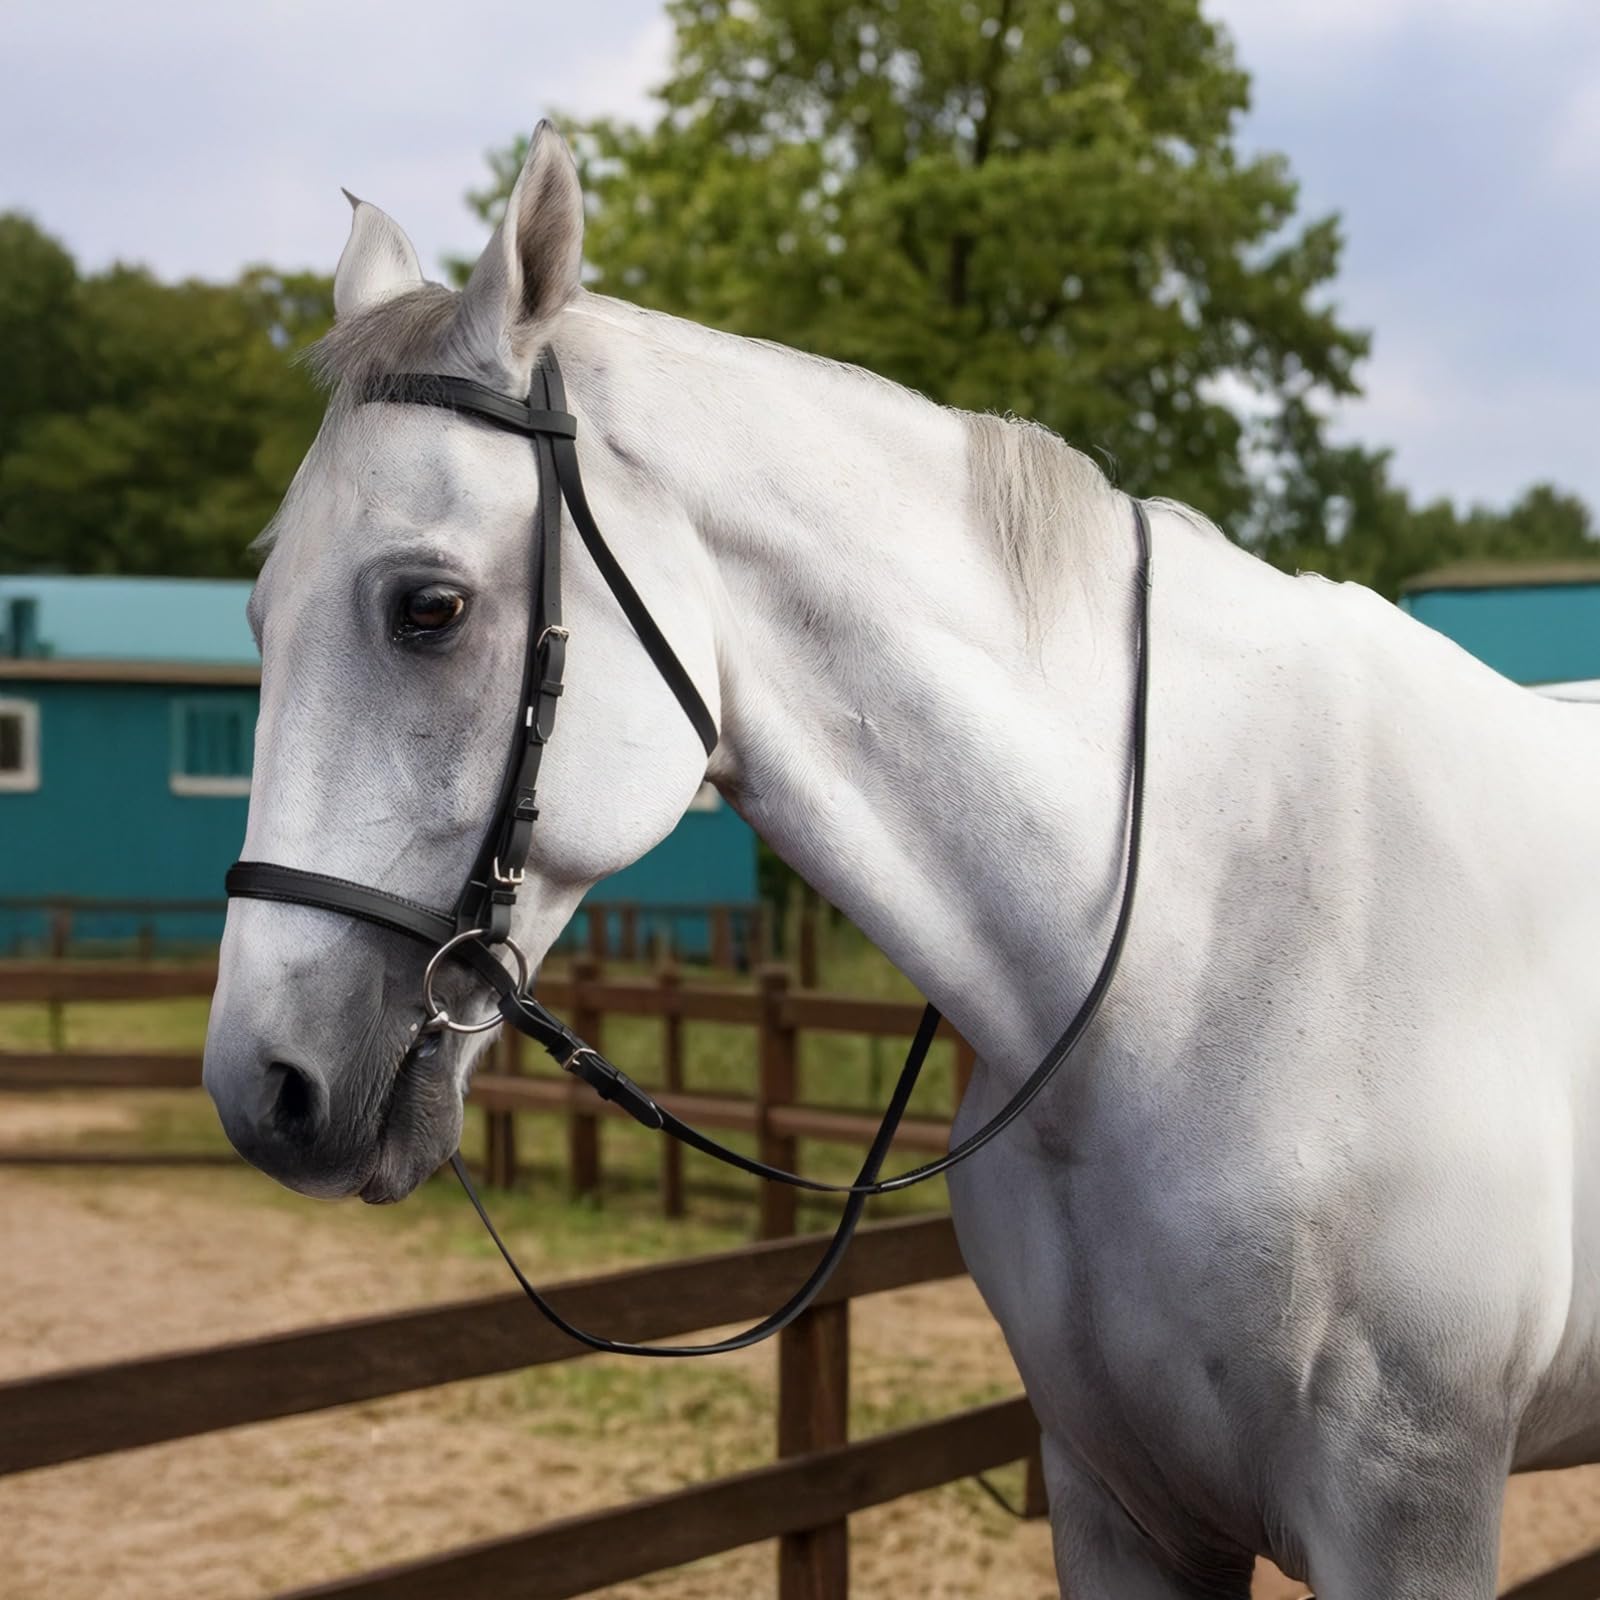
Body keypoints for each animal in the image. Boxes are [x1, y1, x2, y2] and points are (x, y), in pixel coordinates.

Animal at [202, 123, 1600, 1597]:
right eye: (258, 613)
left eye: (429, 608)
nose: (263, 1086)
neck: (1211, 942)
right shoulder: (1121, 1500)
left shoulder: (1409, 1510)